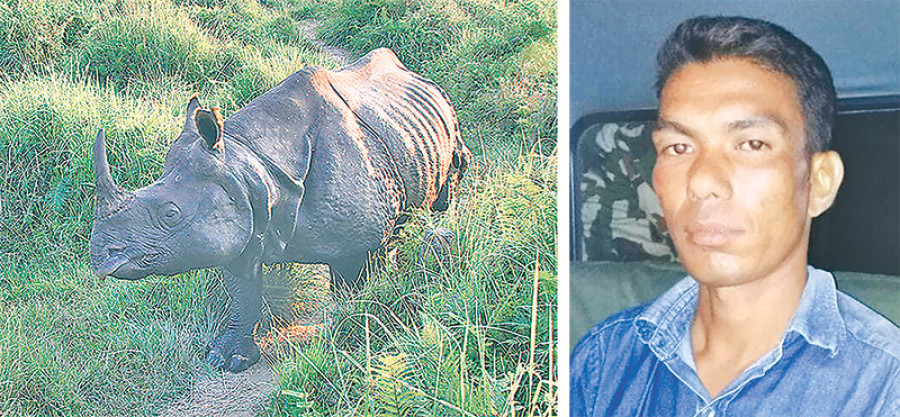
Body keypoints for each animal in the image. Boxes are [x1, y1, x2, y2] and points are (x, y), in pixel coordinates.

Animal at [89, 48, 470, 372]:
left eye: (170, 214)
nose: (100, 258)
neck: (249, 164)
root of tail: (416, 75)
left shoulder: (360, 234)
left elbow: (356, 283)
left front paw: (350, 332)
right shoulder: (240, 219)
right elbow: (243, 293)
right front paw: (228, 358)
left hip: (447, 119)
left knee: (447, 187)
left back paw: (437, 240)